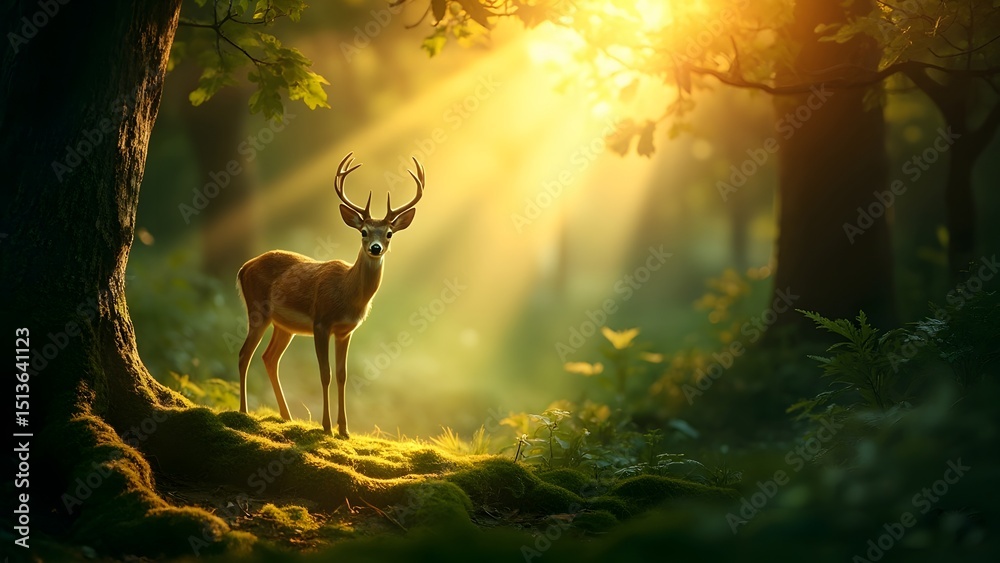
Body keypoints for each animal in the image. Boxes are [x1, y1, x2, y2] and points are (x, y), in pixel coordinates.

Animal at [236, 152, 425, 438]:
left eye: (389, 233)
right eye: (363, 232)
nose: (376, 248)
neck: (347, 294)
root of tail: (244, 267)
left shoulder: (345, 331)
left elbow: (342, 375)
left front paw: (344, 429)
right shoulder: (321, 322)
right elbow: (324, 373)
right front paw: (326, 426)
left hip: (284, 326)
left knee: (269, 358)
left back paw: (286, 416)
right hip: (258, 310)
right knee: (244, 354)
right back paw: (244, 411)